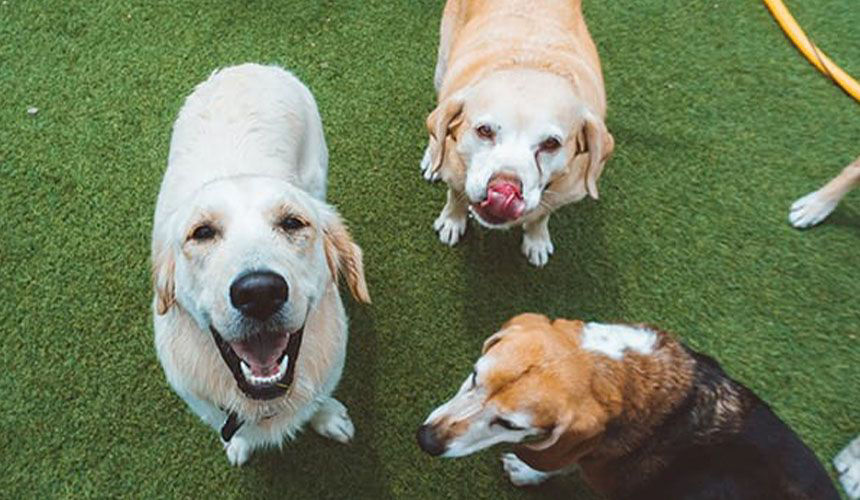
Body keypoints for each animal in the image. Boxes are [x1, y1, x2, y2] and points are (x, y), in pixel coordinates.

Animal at [150, 64, 370, 466]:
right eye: (202, 232)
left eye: (293, 223)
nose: (259, 293)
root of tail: (247, 66)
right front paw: (238, 443)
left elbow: (319, 400)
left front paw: (329, 416)